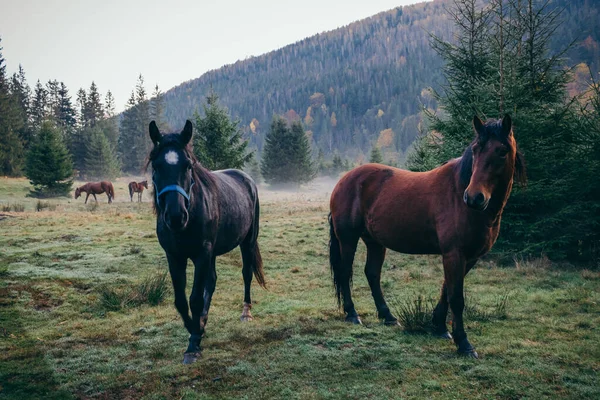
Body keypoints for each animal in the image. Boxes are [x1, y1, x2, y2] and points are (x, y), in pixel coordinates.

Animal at [146, 120, 266, 364]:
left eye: (188, 165)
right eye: (156, 166)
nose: (176, 216)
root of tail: (246, 178)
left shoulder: (202, 254)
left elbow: (194, 298)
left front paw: (193, 343)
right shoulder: (175, 256)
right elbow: (181, 300)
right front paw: (196, 328)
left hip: (247, 242)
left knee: (246, 273)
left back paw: (246, 312)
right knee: (211, 281)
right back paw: (203, 320)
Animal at [328, 114, 524, 358]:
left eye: (502, 151)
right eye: (476, 149)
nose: (474, 197)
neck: (458, 195)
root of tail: (344, 180)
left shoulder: (469, 257)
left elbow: (446, 290)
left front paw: (439, 327)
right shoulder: (454, 254)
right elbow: (456, 298)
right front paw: (464, 343)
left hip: (375, 242)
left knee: (372, 273)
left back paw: (388, 316)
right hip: (347, 239)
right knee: (345, 272)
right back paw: (353, 314)